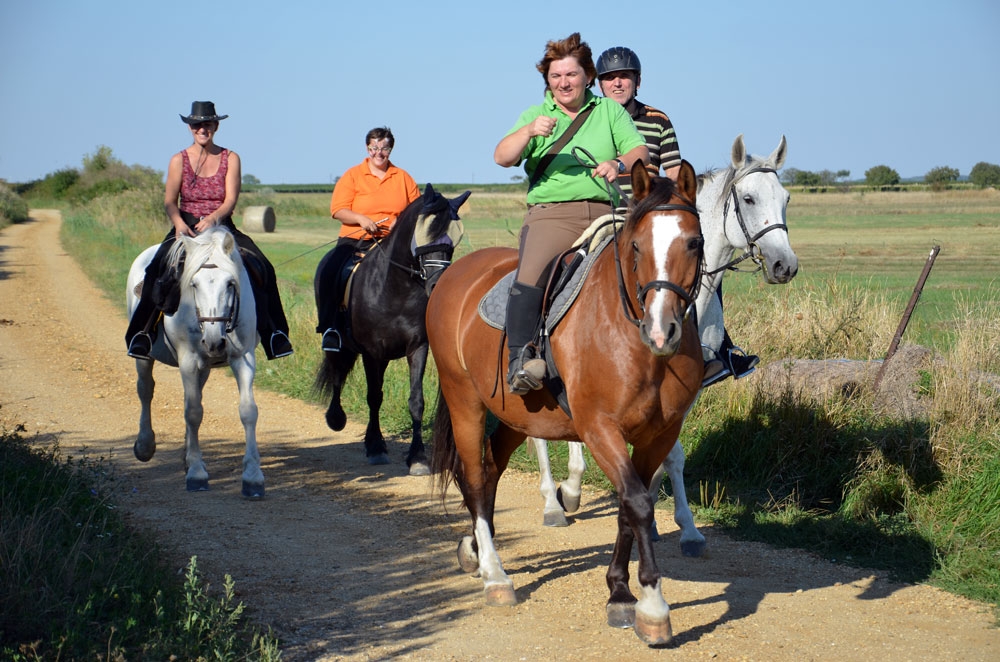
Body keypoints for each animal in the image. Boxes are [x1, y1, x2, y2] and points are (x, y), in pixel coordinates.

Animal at [126, 227, 266, 498]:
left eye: (230, 283)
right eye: (194, 284)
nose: (214, 342)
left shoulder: (243, 358)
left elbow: (248, 411)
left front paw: (253, 476)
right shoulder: (189, 360)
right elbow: (193, 413)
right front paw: (197, 473)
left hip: (204, 367)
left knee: (191, 396)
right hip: (146, 357)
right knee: (146, 390)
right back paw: (145, 445)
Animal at [316, 187, 472, 474]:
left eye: (453, 242)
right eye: (426, 234)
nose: (438, 285)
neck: (396, 288)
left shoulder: (418, 348)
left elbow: (416, 401)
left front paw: (418, 457)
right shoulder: (372, 352)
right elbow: (374, 396)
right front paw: (376, 447)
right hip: (337, 340)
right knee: (337, 371)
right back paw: (336, 418)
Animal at [430, 162, 704, 648]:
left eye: (693, 242)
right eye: (636, 245)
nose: (662, 331)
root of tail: (455, 274)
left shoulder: (659, 433)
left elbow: (630, 506)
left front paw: (619, 592)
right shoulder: (599, 428)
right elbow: (637, 502)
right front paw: (652, 607)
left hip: (516, 417)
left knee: (490, 470)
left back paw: (476, 549)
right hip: (464, 400)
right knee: (475, 478)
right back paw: (495, 575)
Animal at [532, 136, 796, 560]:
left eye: (786, 198)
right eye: (749, 198)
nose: (784, 265)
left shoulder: (687, 391)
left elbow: (669, 456)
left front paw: (669, 523)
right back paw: (557, 502)